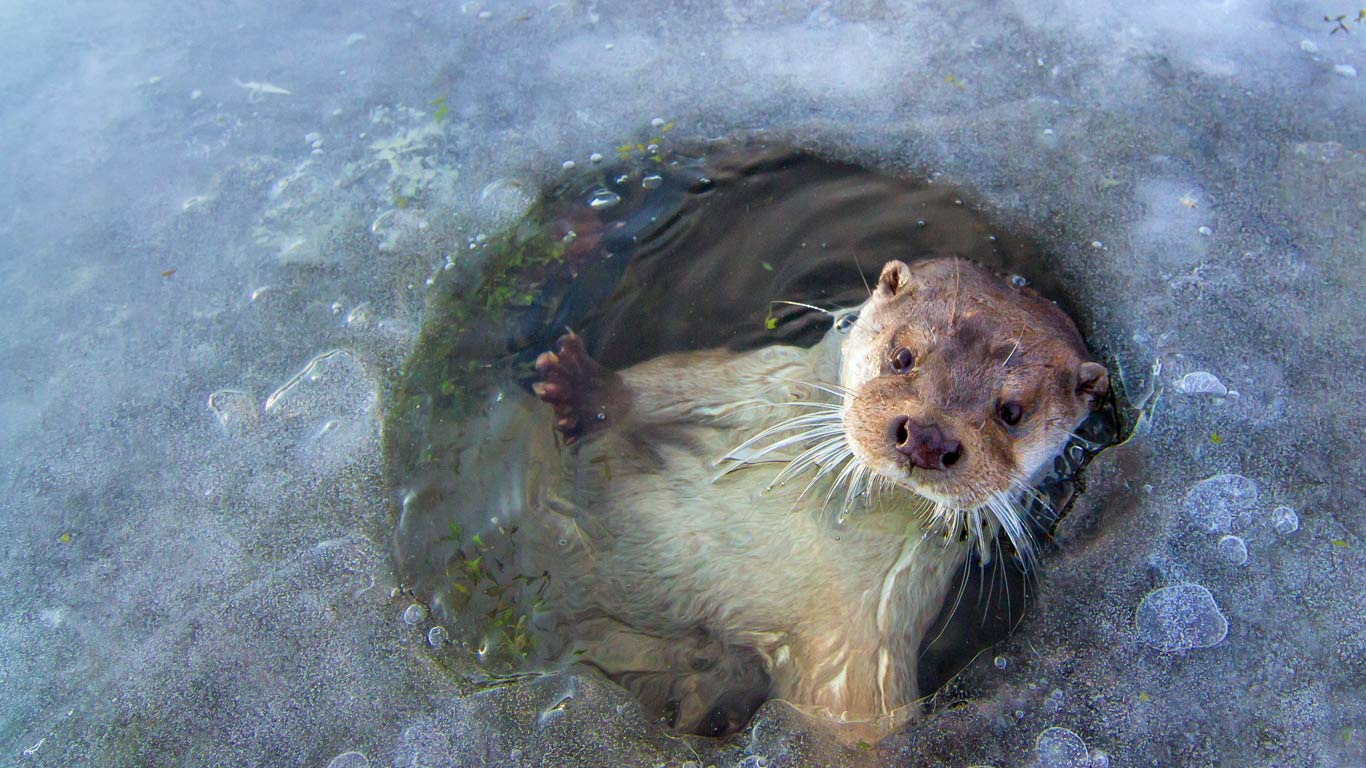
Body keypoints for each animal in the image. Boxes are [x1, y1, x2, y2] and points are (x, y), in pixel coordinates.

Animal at [526, 257, 1108, 739]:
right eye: (903, 356)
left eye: (1012, 412)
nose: (928, 436)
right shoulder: (762, 379)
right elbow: (674, 380)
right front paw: (585, 387)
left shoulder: (869, 639)